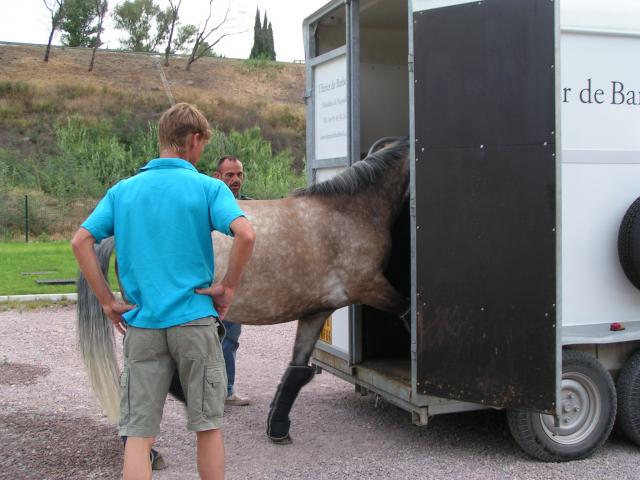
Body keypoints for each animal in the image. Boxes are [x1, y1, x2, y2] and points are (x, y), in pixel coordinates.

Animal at [76, 137, 410, 444]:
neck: (349, 212)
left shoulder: (317, 311)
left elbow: (297, 370)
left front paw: (278, 427)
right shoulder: (372, 287)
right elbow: (406, 311)